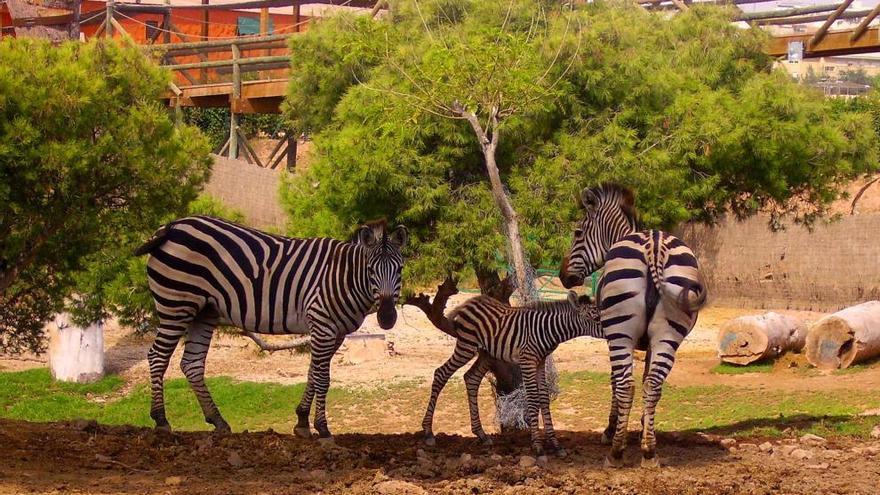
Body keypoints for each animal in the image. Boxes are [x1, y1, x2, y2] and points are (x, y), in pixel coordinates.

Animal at [134, 215, 410, 440]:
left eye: (400, 269)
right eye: (370, 270)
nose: (387, 318)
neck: (344, 277)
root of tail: (171, 226)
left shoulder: (336, 332)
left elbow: (312, 373)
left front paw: (301, 421)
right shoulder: (322, 323)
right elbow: (322, 378)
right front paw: (322, 428)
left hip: (203, 312)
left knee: (191, 364)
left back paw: (218, 421)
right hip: (176, 304)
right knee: (157, 356)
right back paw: (161, 421)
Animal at [422, 290, 600, 458]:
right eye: (595, 318)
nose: (607, 330)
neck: (547, 330)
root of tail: (469, 302)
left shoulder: (540, 361)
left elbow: (543, 397)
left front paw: (555, 444)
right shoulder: (527, 360)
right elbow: (533, 398)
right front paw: (537, 445)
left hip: (486, 353)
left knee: (471, 378)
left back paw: (481, 434)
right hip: (466, 346)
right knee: (441, 373)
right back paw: (428, 432)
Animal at [560, 185, 712, 468]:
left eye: (577, 232)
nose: (563, 276)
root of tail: (655, 246)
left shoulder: (609, 335)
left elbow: (614, 381)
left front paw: (611, 430)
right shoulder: (650, 344)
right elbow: (646, 379)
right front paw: (644, 427)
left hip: (620, 332)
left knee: (625, 385)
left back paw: (616, 452)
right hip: (668, 334)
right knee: (653, 384)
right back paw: (649, 451)